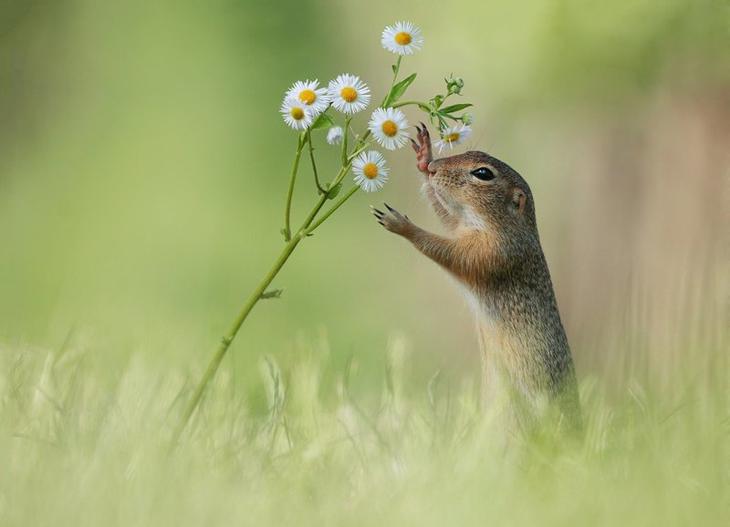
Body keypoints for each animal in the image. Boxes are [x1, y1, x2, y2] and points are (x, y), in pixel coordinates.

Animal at [370, 125, 580, 434]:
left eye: (483, 173)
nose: (433, 167)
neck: (506, 225)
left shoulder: (493, 253)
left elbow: (449, 252)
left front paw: (403, 225)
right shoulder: (461, 227)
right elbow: (445, 215)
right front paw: (424, 156)